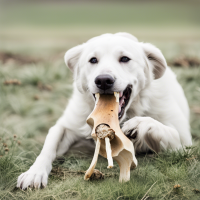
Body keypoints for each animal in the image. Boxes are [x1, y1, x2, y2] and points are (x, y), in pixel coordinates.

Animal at [16, 32, 191, 189]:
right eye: (93, 60)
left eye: (125, 59)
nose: (103, 80)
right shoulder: (66, 126)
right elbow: (49, 146)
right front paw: (34, 173)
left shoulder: (184, 144)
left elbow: (162, 128)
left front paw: (137, 124)